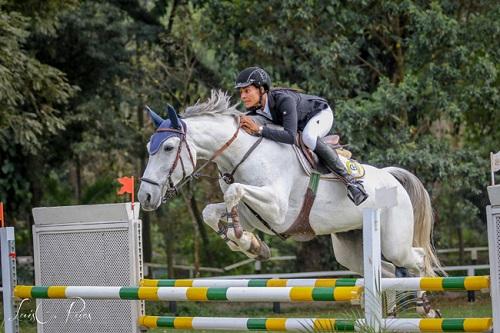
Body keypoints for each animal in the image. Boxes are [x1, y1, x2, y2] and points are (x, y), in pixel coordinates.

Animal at [138, 89, 442, 278]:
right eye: (149, 147)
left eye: (168, 147)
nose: (145, 197)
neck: (244, 154)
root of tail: (392, 178)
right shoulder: (253, 215)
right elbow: (211, 213)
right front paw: (250, 245)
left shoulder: (278, 209)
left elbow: (234, 192)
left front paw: (244, 240)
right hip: (352, 248)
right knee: (384, 272)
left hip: (395, 242)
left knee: (418, 261)